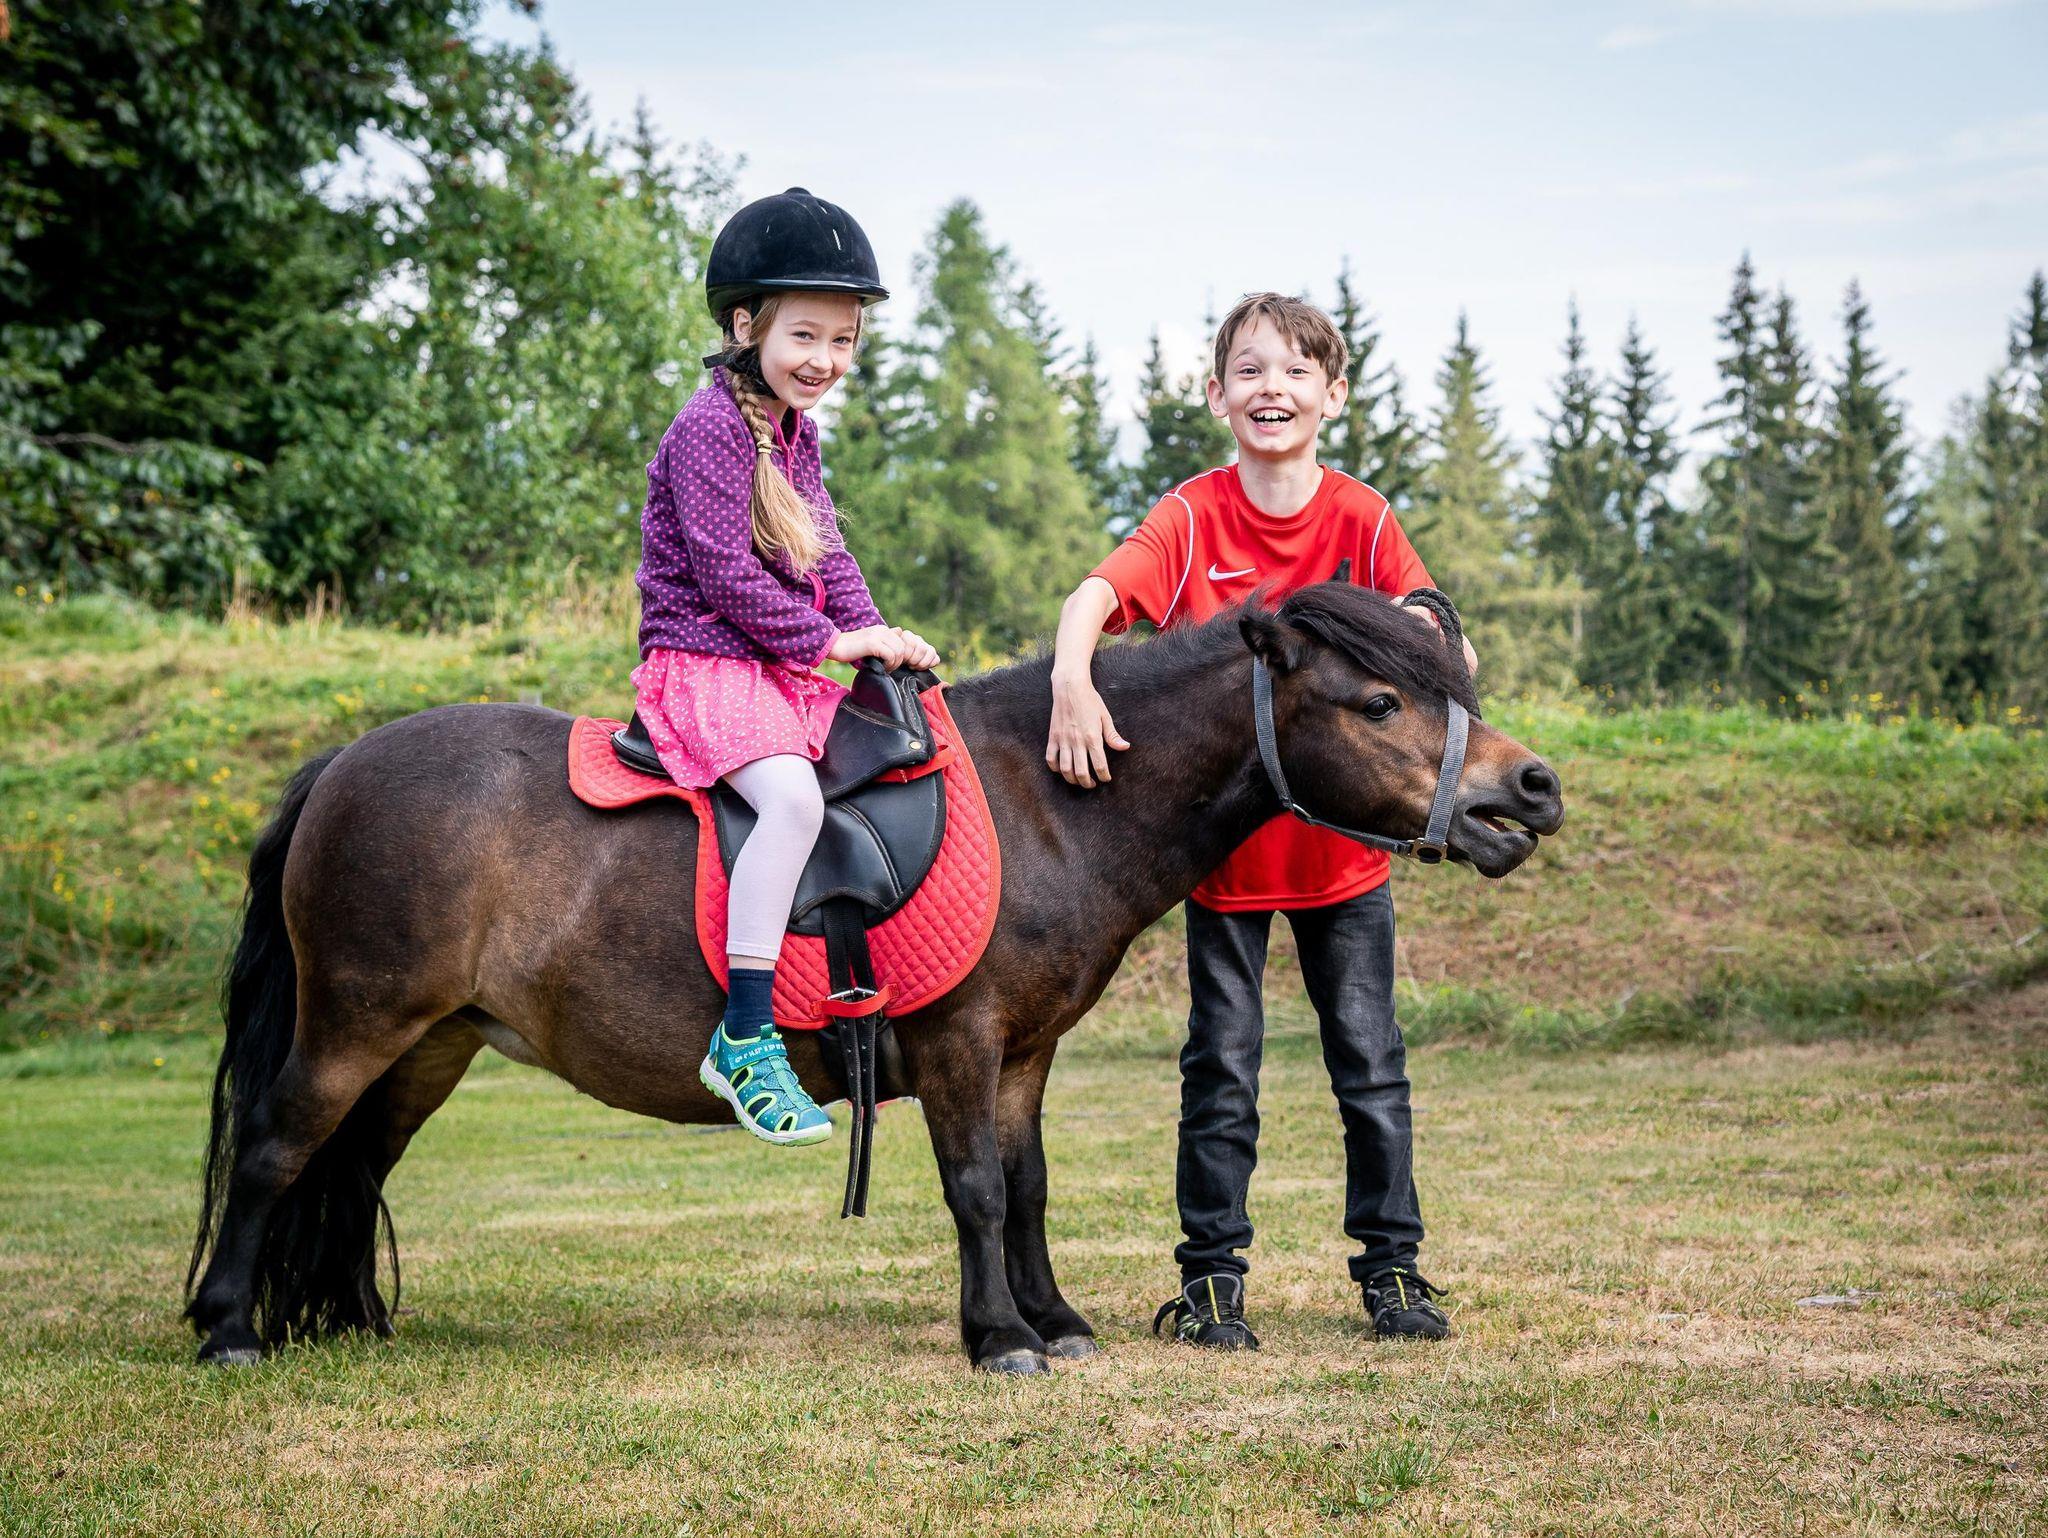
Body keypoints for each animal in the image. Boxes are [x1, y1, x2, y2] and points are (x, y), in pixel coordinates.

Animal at [186, 583, 1564, 1374]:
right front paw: (998, 1336)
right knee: (276, 1148)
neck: (1044, 798)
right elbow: (974, 1191)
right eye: (1380, 699)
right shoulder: (958, 1040)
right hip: (356, 1023)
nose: (1532, 787)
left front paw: (1054, 1318)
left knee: (353, 1165)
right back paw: (229, 1326)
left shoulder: (1022, 1053)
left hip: (430, 1040)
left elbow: (1028, 1184)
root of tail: (342, 763)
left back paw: (353, 1319)